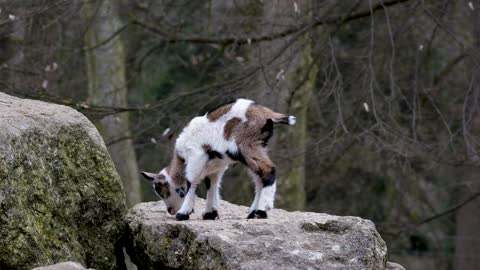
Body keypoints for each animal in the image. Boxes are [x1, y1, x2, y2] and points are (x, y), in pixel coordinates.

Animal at [140, 98, 296, 220]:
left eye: (162, 191)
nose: (171, 211)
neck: (181, 155)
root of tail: (267, 113)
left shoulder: (196, 157)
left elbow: (192, 182)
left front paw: (183, 213)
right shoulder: (216, 167)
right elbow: (212, 185)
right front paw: (210, 213)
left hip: (246, 145)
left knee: (268, 171)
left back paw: (262, 210)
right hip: (255, 147)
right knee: (259, 179)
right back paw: (253, 213)